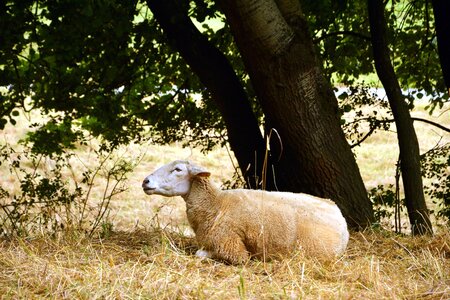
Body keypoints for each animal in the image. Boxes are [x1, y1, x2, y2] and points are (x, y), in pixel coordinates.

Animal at [142, 161, 350, 264]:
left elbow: (201, 254)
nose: (145, 181)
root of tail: (341, 219)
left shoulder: (231, 247)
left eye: (177, 169)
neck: (216, 204)